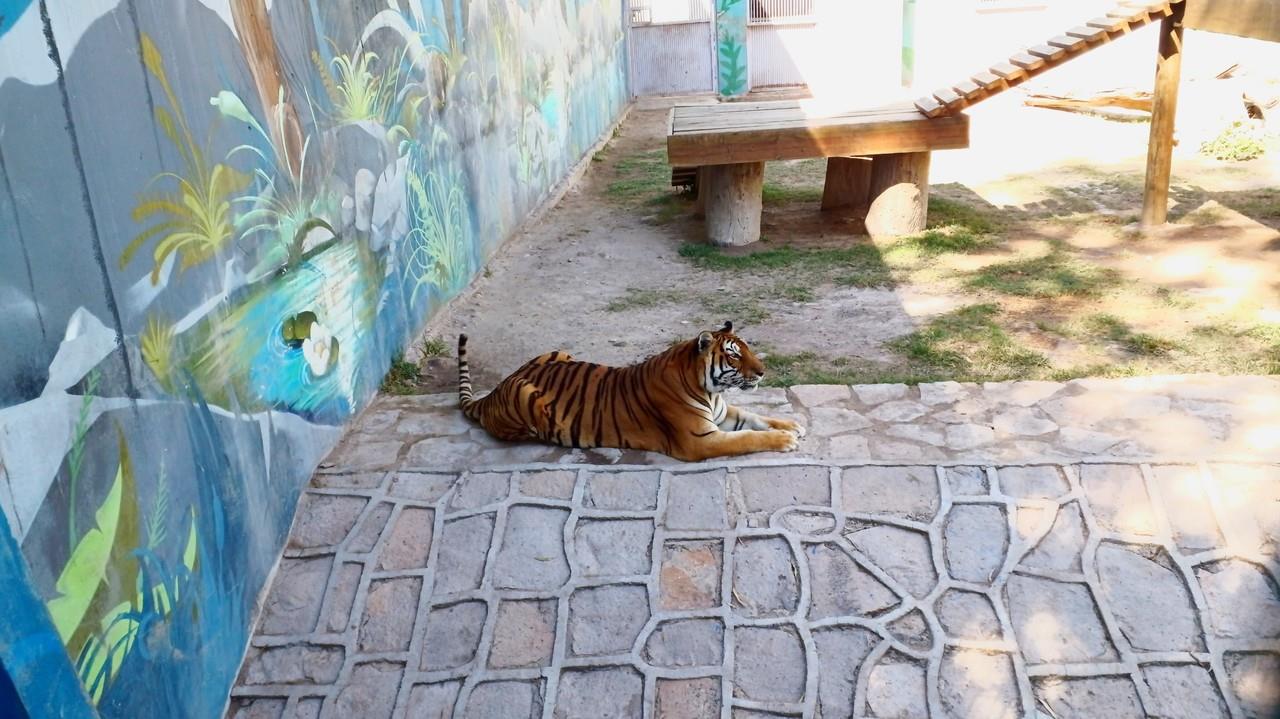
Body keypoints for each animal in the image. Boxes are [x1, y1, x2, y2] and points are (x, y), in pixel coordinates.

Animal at [455, 319, 803, 458]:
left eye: (748, 348)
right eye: (734, 355)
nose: (762, 372)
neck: (709, 389)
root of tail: (496, 390)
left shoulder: (723, 413)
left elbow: (756, 418)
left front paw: (792, 425)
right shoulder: (700, 440)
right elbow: (747, 437)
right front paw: (785, 440)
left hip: (558, 352)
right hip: (526, 399)